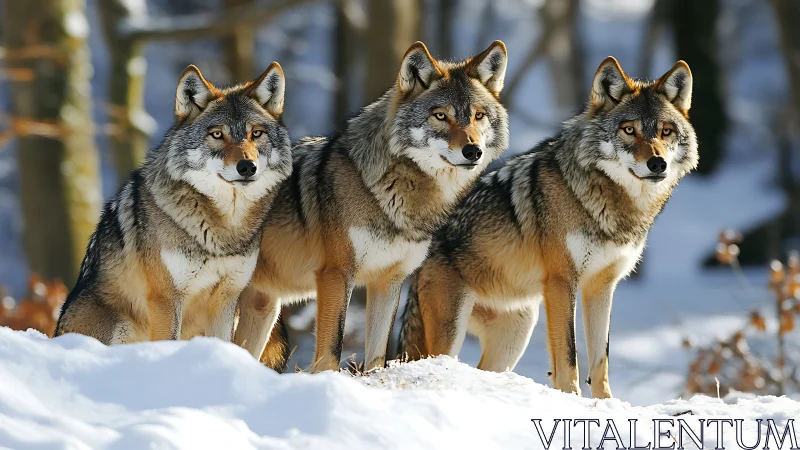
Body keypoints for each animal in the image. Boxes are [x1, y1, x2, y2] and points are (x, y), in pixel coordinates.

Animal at [54, 63, 292, 344]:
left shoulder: (226, 298)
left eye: (256, 133)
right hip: (119, 324)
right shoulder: (166, 299)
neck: (222, 232)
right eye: (217, 134)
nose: (247, 167)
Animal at [233, 41, 510, 373]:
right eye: (441, 116)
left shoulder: (389, 281)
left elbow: (377, 355)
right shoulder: (336, 275)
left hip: (262, 307)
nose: (473, 151)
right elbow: (331, 349)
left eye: (479, 115)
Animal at [397, 57, 698, 398]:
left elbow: (600, 361)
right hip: (452, 333)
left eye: (666, 131)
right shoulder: (561, 282)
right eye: (629, 130)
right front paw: (572, 399)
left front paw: (605, 403)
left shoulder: (601, 287)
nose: (657, 164)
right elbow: (569, 356)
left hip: (515, 336)